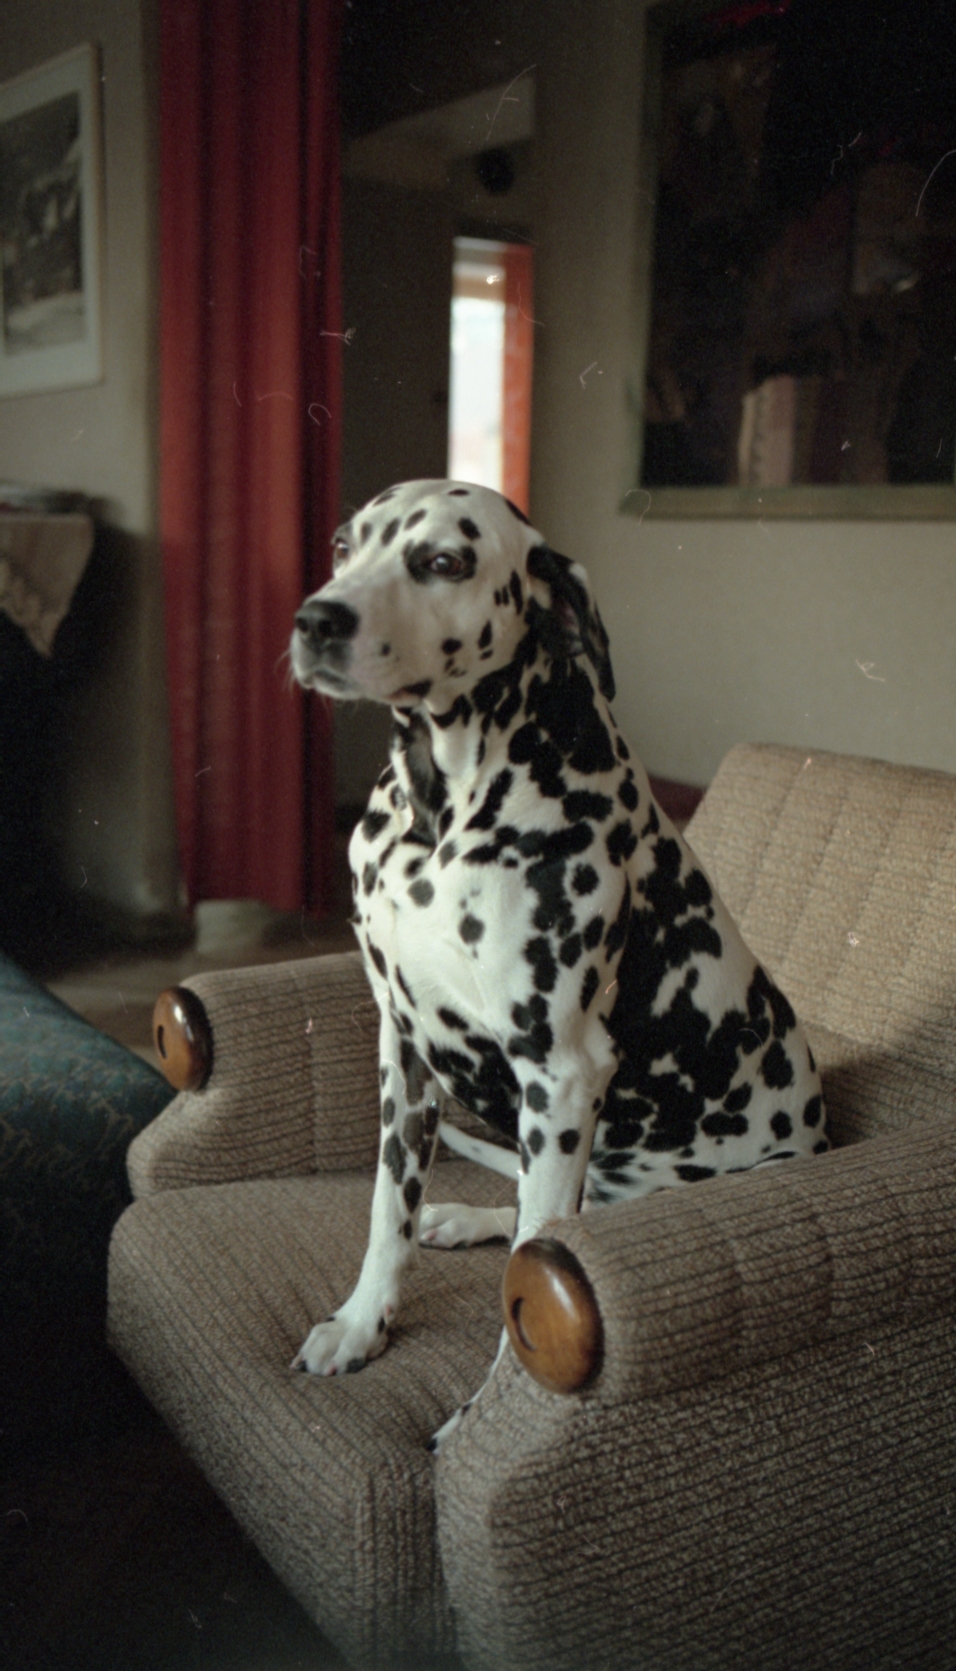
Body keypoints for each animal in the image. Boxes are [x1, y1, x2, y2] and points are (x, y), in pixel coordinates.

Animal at [289, 479, 828, 1442]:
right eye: (345, 545)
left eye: (443, 561)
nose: (317, 618)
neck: (440, 815)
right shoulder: (404, 1049)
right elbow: (389, 1210)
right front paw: (360, 1324)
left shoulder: (561, 1075)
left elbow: (531, 1281)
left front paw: (482, 1420)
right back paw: (463, 1216)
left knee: (548, 1225)